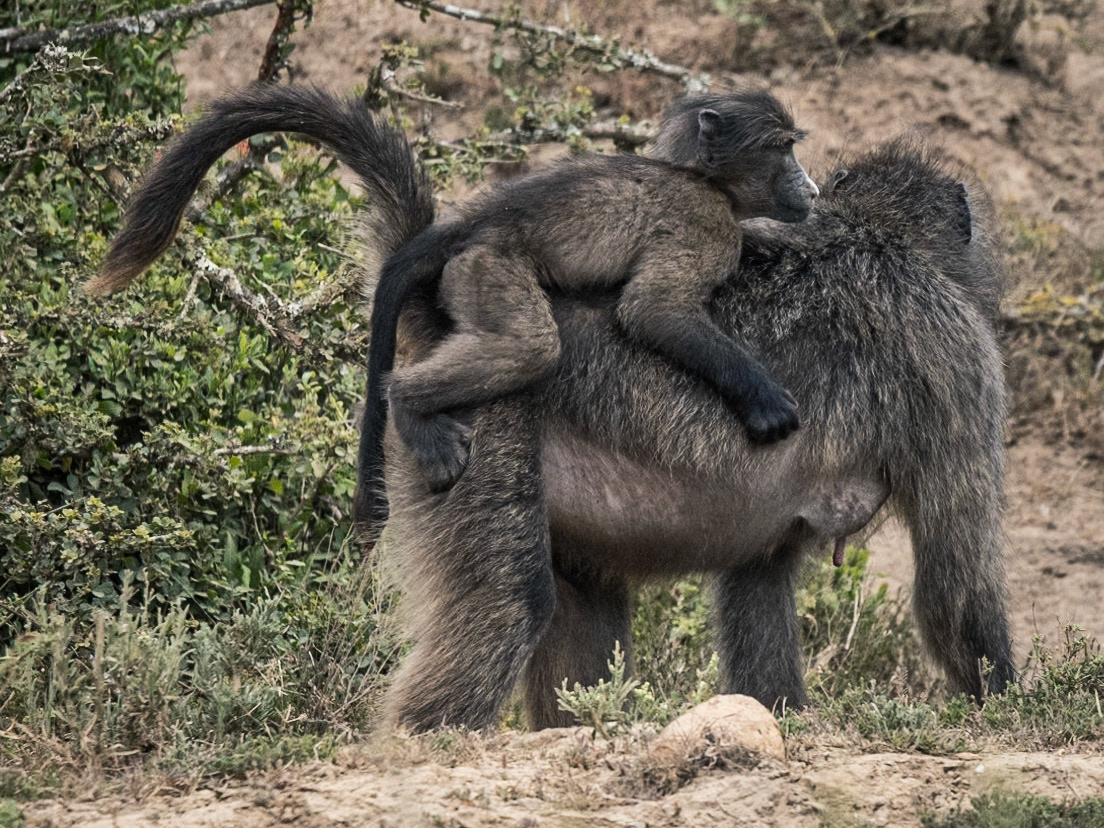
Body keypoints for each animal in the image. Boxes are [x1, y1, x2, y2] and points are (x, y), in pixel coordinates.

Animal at [91, 84, 1015, 732]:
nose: (809, 188)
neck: (876, 238)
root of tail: (440, 291)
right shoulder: (960, 362)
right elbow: (955, 587)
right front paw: (1013, 711)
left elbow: (757, 598)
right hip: (483, 426)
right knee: (506, 609)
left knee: (579, 624)